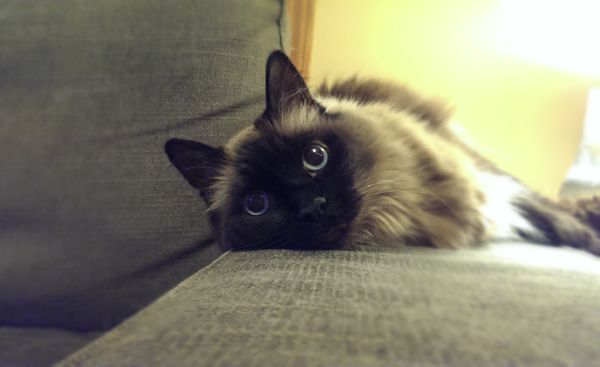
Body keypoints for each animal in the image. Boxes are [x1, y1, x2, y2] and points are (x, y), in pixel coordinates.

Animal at [164, 50, 600, 256]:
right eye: (257, 204)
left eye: (315, 157)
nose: (313, 207)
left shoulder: (489, 186)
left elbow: (556, 220)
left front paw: (587, 240)